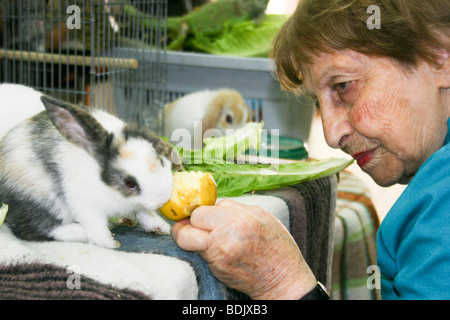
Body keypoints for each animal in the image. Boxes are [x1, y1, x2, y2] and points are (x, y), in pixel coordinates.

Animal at [0, 84, 179, 249]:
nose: (162, 199)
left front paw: (161, 227)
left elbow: (144, 213)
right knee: (34, 228)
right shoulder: (86, 207)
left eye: (161, 160)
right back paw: (79, 232)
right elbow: (96, 226)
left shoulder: (138, 205)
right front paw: (110, 243)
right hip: (37, 202)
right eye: (129, 183)